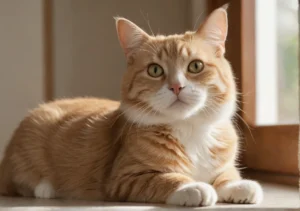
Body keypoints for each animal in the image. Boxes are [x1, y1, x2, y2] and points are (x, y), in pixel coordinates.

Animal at [0, 6, 262, 206]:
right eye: (155, 70)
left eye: (195, 66)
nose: (176, 86)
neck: (190, 128)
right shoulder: (125, 177)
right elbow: (165, 179)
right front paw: (194, 187)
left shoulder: (223, 164)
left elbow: (226, 175)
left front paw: (238, 186)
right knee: (20, 183)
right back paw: (45, 187)